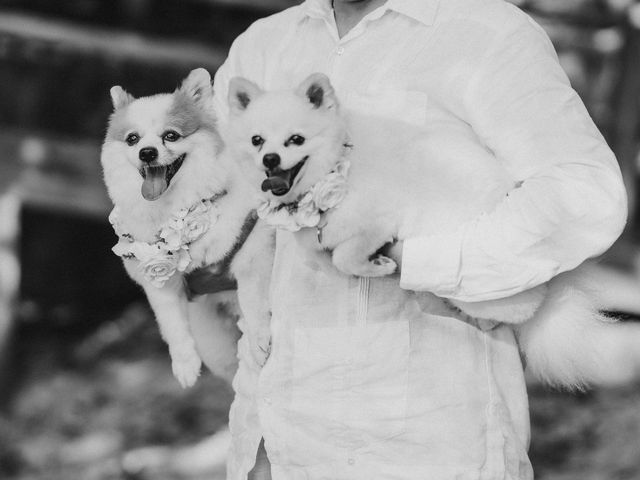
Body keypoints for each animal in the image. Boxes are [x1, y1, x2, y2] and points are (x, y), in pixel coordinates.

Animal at [100, 68, 272, 386]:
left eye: (171, 135)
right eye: (132, 139)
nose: (147, 152)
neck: (178, 207)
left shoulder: (251, 249)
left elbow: (253, 299)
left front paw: (258, 338)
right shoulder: (159, 279)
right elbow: (172, 324)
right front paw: (184, 364)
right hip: (216, 345)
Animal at [226, 74, 636, 390]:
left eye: (295, 140)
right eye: (257, 140)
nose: (270, 159)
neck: (336, 165)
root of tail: (554, 278)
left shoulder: (380, 218)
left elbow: (345, 255)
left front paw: (377, 266)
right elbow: (322, 256)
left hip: (489, 288)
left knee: (515, 312)